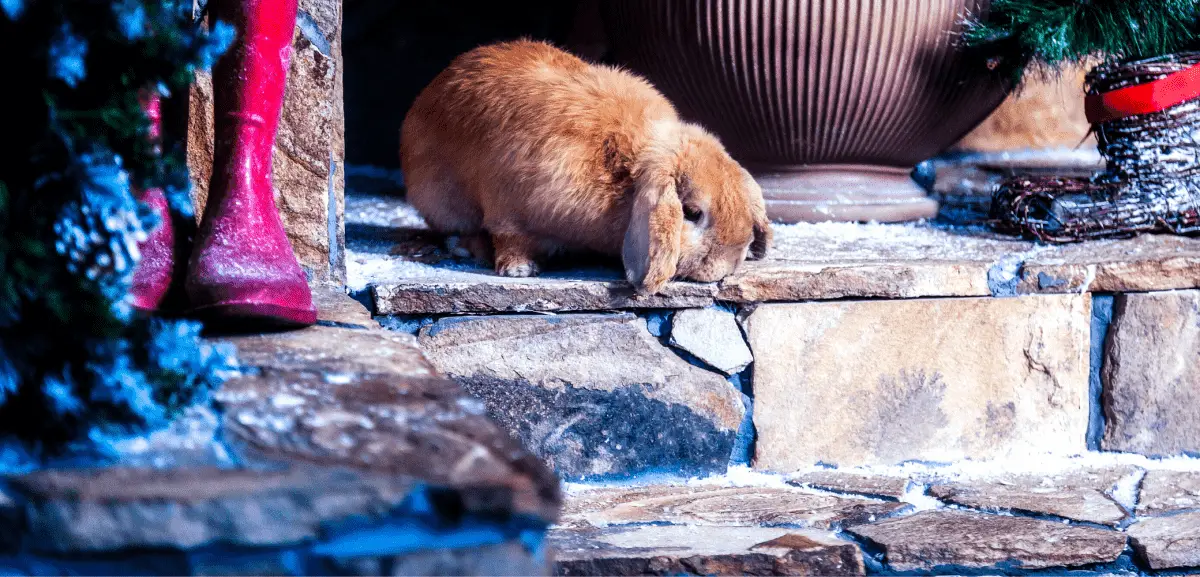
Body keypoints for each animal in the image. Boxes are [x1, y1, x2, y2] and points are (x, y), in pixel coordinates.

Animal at [401, 39, 772, 295]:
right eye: (692, 213)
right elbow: (510, 237)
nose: (727, 266)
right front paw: (519, 269)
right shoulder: (507, 207)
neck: (624, 171)